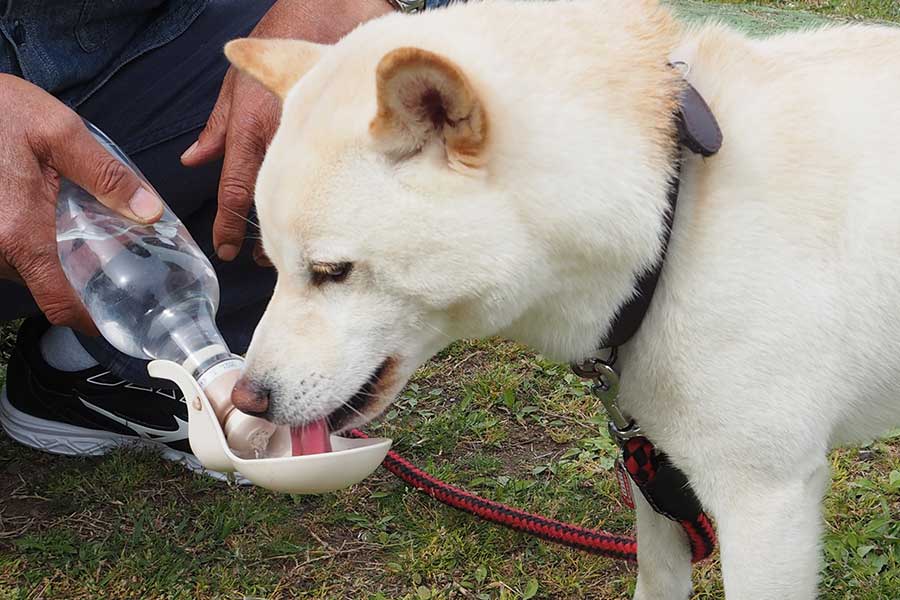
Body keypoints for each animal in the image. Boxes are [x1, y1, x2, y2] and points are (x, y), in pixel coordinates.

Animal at [221, 2, 900, 596]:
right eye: (271, 266)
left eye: (331, 272)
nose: (245, 399)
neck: (672, 220)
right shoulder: (655, 474)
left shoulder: (767, 502)